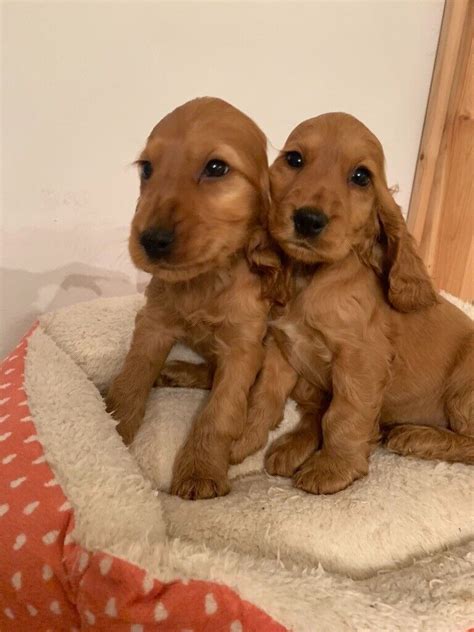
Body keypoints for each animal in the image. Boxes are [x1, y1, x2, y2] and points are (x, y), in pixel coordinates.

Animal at [105, 97, 276, 498]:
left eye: (216, 167)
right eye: (146, 168)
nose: (151, 241)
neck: (205, 281)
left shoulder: (244, 348)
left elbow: (221, 410)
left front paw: (200, 469)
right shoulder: (153, 324)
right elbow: (133, 376)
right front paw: (113, 426)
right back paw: (176, 371)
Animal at [231, 115, 474, 498]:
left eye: (361, 176)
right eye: (294, 159)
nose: (308, 219)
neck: (310, 279)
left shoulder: (361, 359)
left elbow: (344, 415)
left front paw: (333, 468)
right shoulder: (282, 347)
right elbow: (264, 396)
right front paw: (239, 441)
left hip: (465, 389)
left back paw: (415, 436)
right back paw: (293, 447)